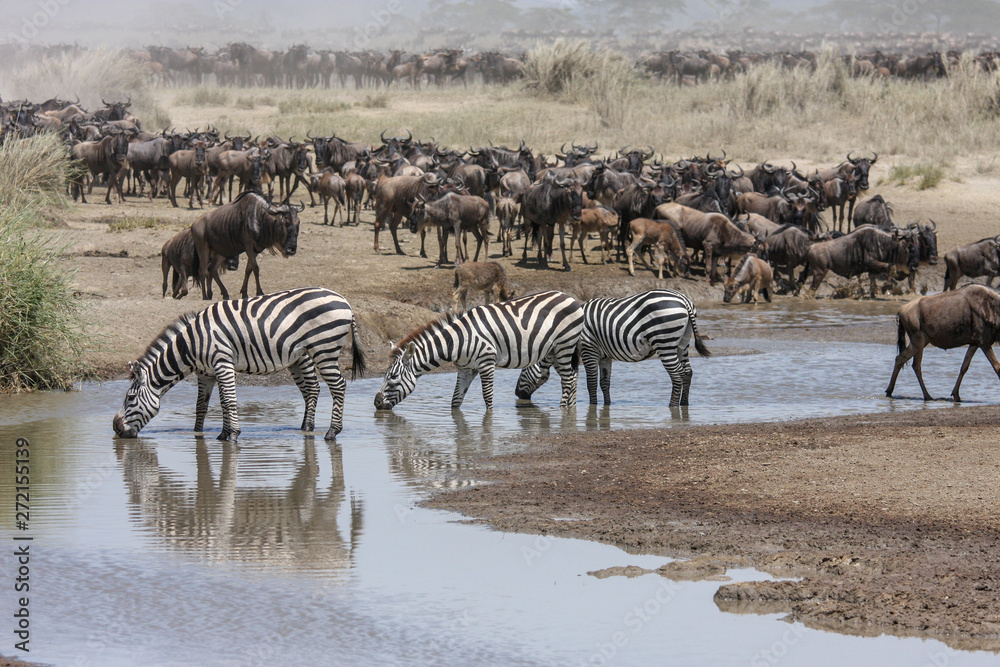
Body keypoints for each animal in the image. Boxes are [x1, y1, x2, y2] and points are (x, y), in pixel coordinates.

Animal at [112, 287, 367, 442]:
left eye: (130, 399)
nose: (115, 428)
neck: (191, 345)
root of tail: (344, 300)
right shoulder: (207, 373)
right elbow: (203, 406)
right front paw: (202, 435)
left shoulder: (222, 362)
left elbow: (228, 401)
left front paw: (232, 435)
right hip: (301, 355)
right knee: (313, 389)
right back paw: (308, 428)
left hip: (324, 349)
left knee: (338, 386)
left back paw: (332, 432)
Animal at [373, 290, 584, 411]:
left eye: (393, 377)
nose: (376, 403)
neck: (457, 342)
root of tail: (569, 296)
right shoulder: (466, 369)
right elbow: (455, 400)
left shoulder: (487, 362)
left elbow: (488, 397)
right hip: (554, 351)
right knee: (573, 378)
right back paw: (571, 410)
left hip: (564, 345)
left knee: (567, 380)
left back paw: (562, 412)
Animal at [515, 289, 710, 406]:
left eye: (524, 368)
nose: (517, 394)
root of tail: (684, 300)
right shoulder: (604, 356)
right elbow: (604, 383)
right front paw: (606, 406)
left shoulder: (589, 349)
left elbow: (591, 383)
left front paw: (593, 407)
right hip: (682, 343)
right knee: (687, 373)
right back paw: (684, 404)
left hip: (665, 342)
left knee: (677, 375)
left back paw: (672, 406)